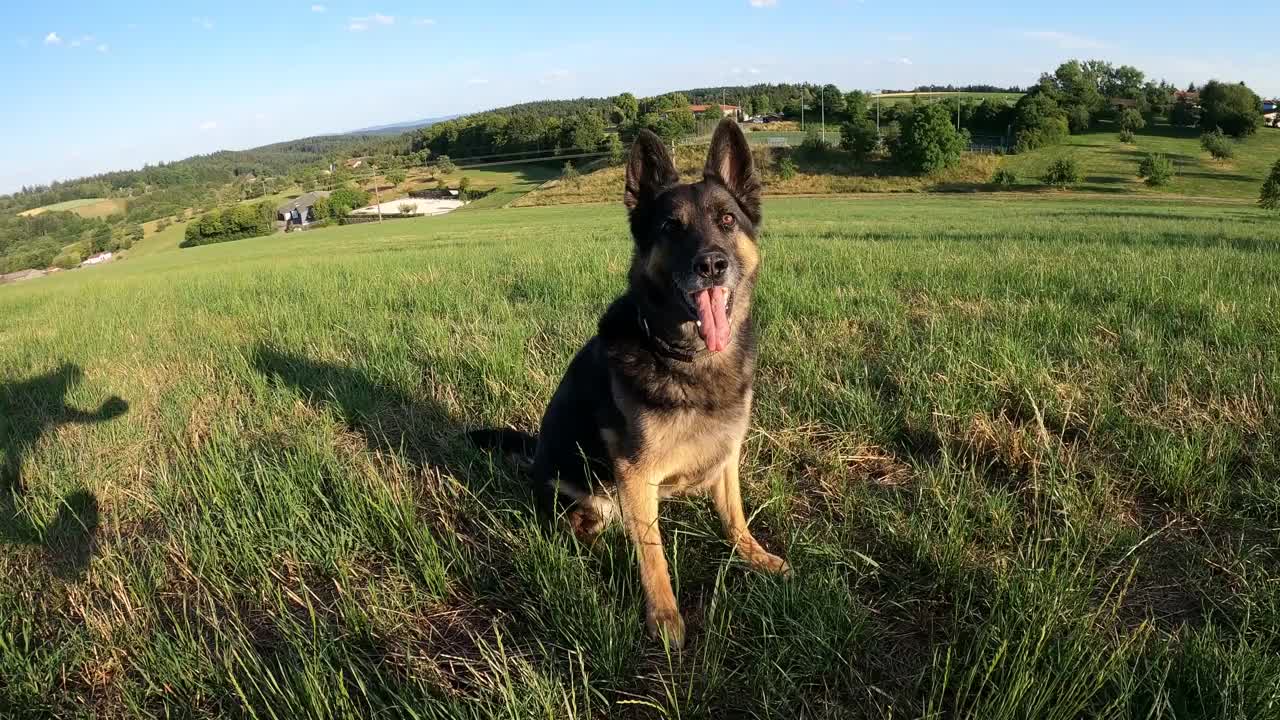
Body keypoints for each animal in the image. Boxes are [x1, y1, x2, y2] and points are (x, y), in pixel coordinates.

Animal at [473, 117, 783, 645]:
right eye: (671, 228)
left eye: (726, 220)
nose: (711, 265)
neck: (685, 355)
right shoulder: (636, 475)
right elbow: (653, 555)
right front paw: (665, 619)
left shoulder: (726, 457)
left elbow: (735, 516)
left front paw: (753, 555)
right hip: (582, 497)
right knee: (583, 531)